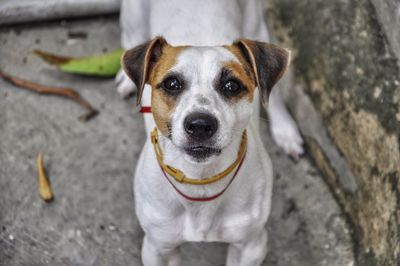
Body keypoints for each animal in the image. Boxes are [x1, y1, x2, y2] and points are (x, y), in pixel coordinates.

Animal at [117, 1, 304, 264]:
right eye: (172, 84)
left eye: (232, 86)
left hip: (257, 25)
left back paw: (285, 131)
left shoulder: (251, 246)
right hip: (133, 23)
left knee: (273, 94)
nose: (200, 125)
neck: (201, 181)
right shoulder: (158, 247)